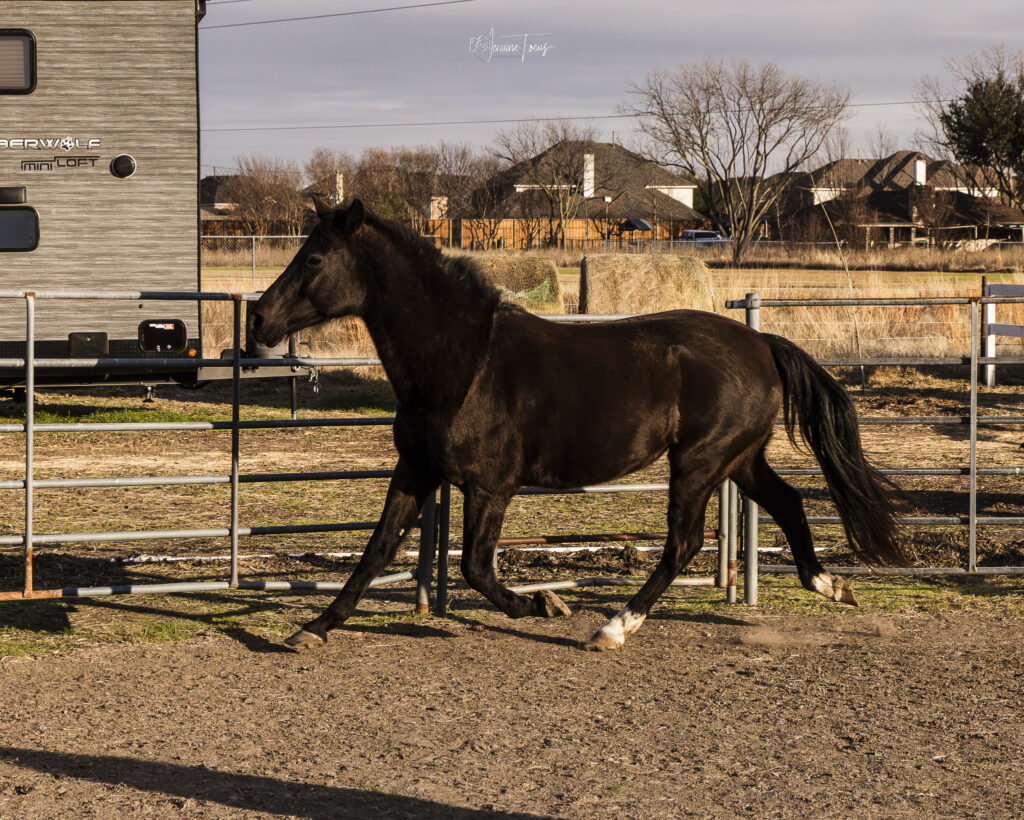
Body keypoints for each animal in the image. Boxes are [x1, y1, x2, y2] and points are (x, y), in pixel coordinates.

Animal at [250, 198, 907, 652]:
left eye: (314, 258)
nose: (258, 317)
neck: (462, 364)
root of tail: (761, 343)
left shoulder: (490, 486)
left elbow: (475, 568)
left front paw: (546, 606)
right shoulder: (415, 473)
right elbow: (375, 553)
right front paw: (313, 627)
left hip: (698, 463)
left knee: (684, 544)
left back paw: (613, 628)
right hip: (738, 459)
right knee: (790, 503)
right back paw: (831, 585)